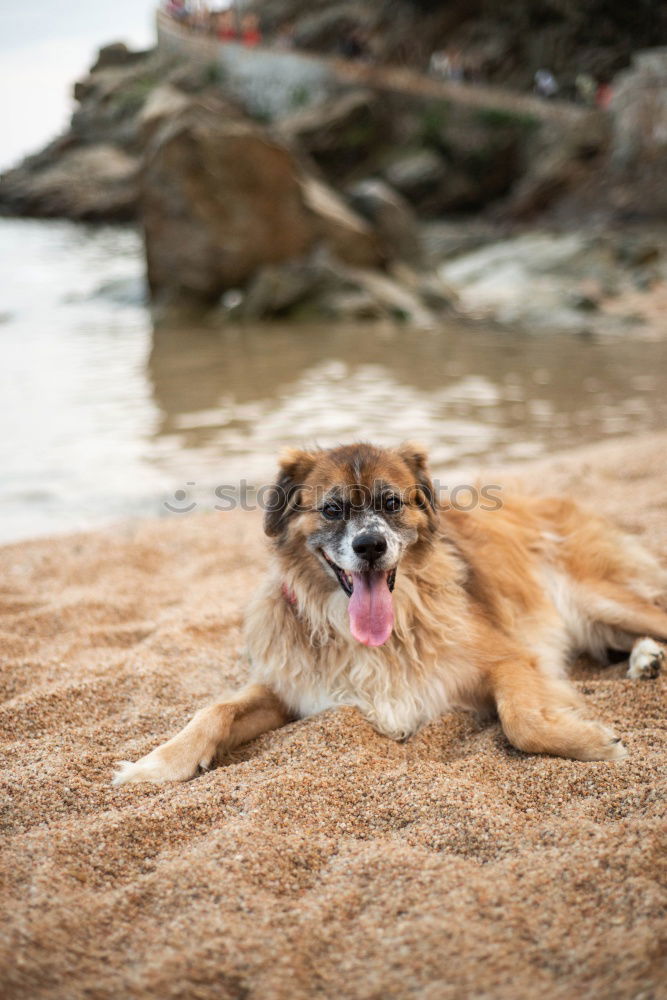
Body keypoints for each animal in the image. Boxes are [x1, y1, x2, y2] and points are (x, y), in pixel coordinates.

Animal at [115, 442, 667, 784]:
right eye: (332, 509)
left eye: (392, 503)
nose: (370, 546)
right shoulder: (292, 688)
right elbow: (215, 710)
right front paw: (156, 764)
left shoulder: (510, 659)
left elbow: (521, 721)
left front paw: (590, 743)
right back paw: (646, 660)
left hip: (596, 597)